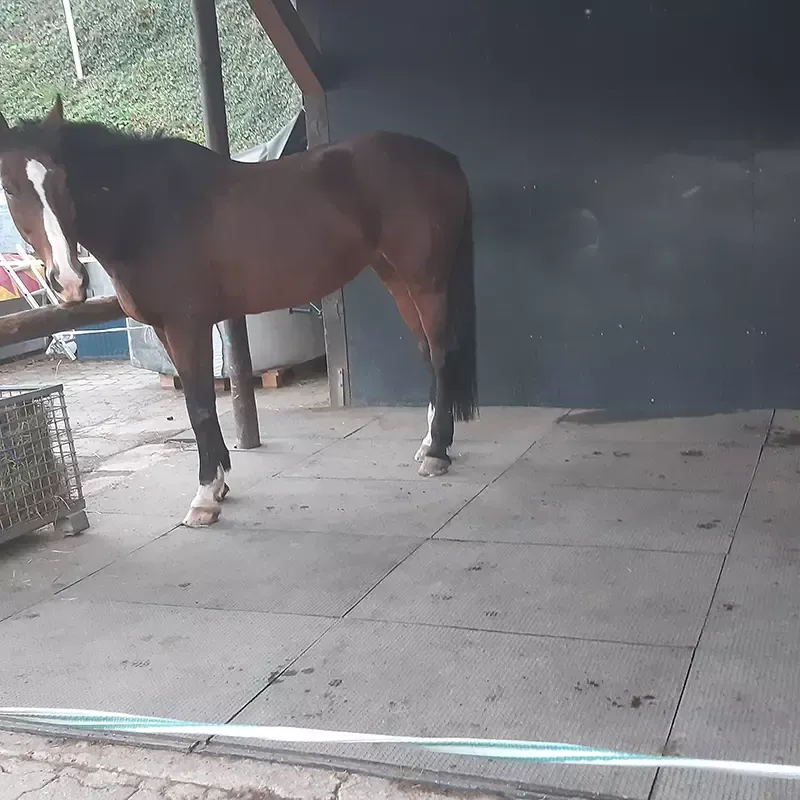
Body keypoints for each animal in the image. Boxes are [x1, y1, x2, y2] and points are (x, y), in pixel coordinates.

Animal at [0, 98, 478, 527]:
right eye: (9, 187)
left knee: (440, 353)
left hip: (426, 281)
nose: (69, 281)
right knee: (427, 352)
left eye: (62, 180)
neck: (150, 212)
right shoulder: (168, 331)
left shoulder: (187, 326)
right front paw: (220, 485)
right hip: (396, 278)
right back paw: (428, 442)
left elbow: (199, 405)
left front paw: (204, 497)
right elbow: (200, 405)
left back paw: (437, 453)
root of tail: (445, 159)